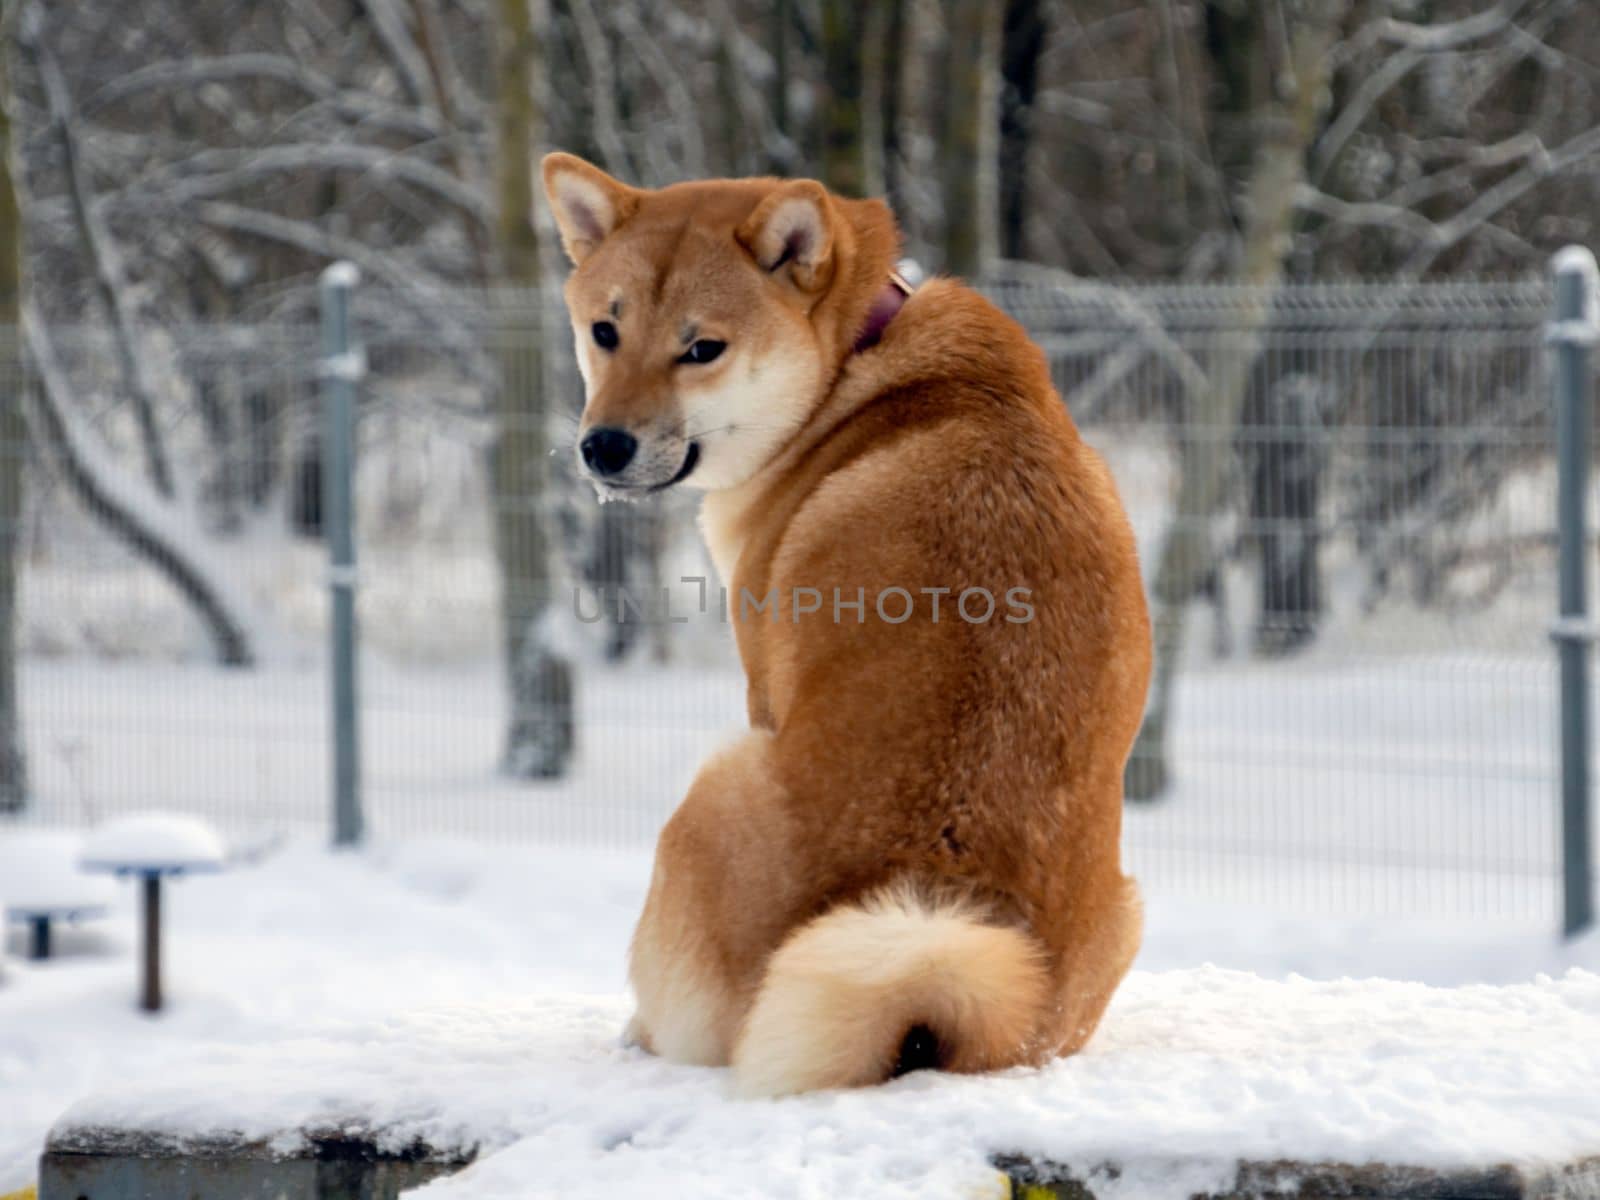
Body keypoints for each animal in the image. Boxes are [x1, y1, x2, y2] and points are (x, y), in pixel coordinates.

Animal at [547, 152, 1152, 1100]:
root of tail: (929, 1025)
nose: (603, 447)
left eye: (702, 349)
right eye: (605, 332)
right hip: (1126, 907)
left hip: (711, 791)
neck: (848, 372)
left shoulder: (761, 685)